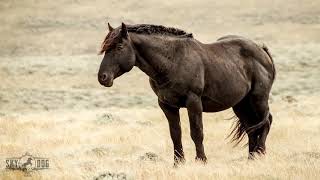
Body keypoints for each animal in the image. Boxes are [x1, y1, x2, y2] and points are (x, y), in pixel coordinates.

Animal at [97, 23, 276, 165]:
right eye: (105, 49)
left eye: (119, 47)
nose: (102, 77)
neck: (173, 61)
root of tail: (262, 50)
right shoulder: (167, 105)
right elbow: (175, 134)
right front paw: (178, 163)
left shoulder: (193, 102)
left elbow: (196, 132)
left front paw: (201, 160)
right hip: (240, 104)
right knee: (251, 127)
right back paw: (251, 158)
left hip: (258, 99)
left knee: (266, 122)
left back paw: (260, 153)